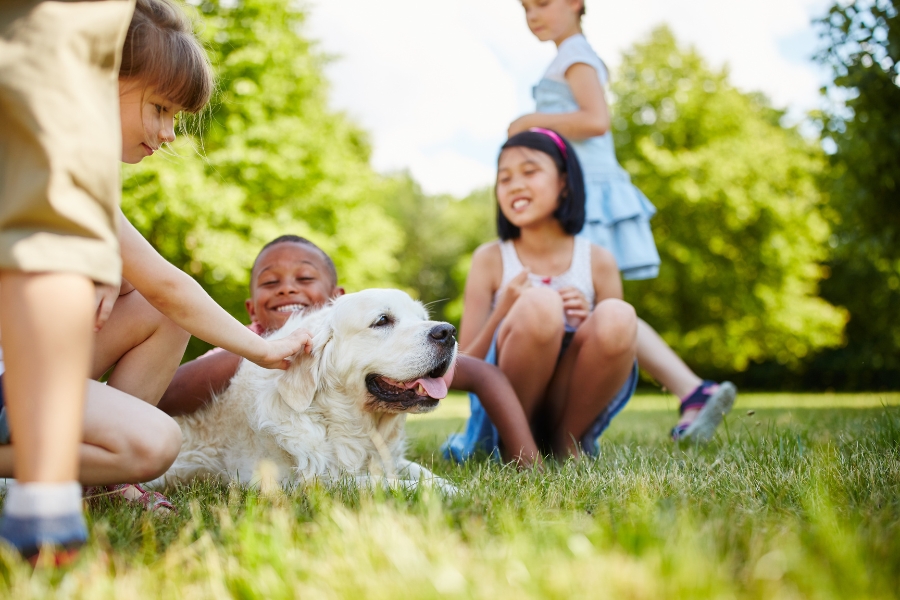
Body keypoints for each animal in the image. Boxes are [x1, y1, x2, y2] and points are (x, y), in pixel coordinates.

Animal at [151, 290, 458, 492]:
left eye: (422, 317)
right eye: (382, 320)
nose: (448, 332)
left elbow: (422, 473)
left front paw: (454, 484)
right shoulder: (312, 482)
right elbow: (391, 483)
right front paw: (452, 491)